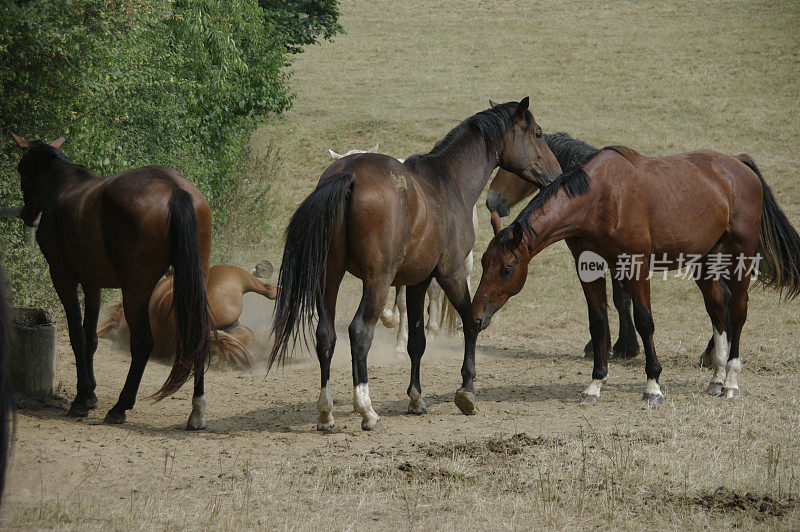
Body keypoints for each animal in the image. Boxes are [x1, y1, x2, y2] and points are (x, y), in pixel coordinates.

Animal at [13, 135, 212, 430]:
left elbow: (77, 335)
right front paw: (90, 394)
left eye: (20, 168)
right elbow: (91, 337)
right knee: (197, 333)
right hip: (195, 282)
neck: (63, 186)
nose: (28, 215)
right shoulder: (92, 283)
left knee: (142, 342)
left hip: (136, 291)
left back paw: (120, 407)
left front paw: (81, 399)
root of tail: (174, 190)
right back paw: (197, 411)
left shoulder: (63, 277)